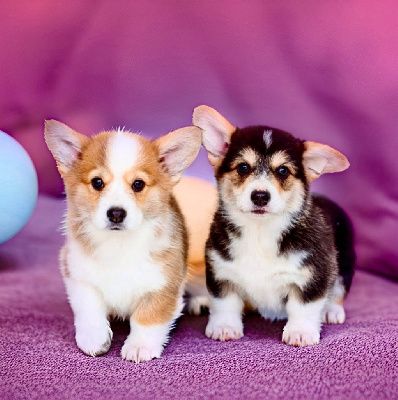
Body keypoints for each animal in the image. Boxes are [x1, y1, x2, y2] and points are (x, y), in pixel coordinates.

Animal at [44, 120, 202, 360]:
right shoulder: (76, 272)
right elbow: (89, 306)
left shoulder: (163, 284)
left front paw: (139, 346)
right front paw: (93, 337)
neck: (119, 244)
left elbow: (148, 317)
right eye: (97, 182)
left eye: (138, 184)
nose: (116, 213)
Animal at [193, 106, 354, 346]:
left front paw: (300, 332)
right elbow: (225, 303)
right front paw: (224, 327)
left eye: (283, 171)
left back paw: (331, 312)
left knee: (338, 291)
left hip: (344, 264)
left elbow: (303, 306)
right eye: (243, 167)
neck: (260, 233)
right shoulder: (220, 271)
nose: (260, 196)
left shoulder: (313, 273)